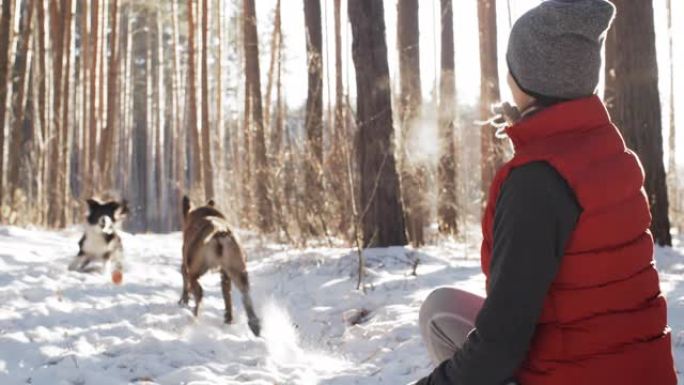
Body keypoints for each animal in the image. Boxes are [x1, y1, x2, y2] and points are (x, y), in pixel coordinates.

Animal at [178, 195, 260, 332]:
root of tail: (219, 232)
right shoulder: (225, 274)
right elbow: (227, 295)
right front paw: (228, 317)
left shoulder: (186, 264)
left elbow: (185, 280)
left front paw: (183, 301)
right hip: (238, 270)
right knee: (245, 294)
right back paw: (253, 324)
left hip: (196, 269)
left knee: (197, 290)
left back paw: (196, 317)